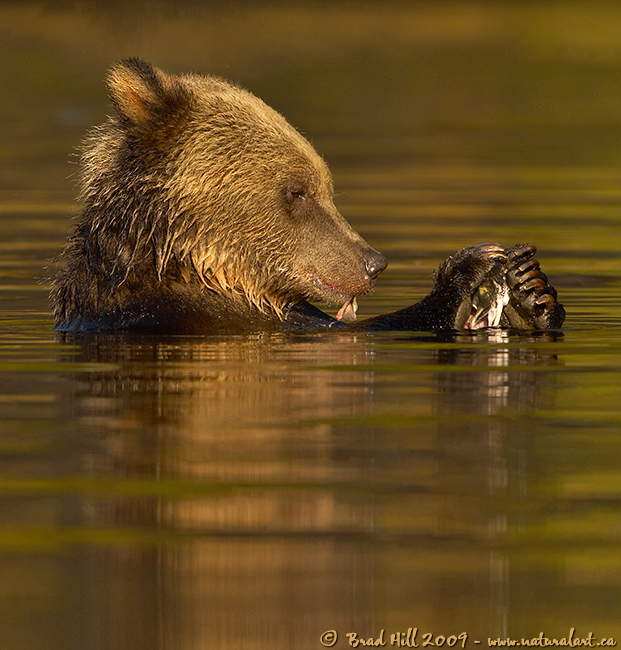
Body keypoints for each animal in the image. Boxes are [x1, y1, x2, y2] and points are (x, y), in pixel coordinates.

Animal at [52, 58, 565, 334]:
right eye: (297, 191)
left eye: (327, 187)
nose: (373, 262)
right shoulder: (198, 315)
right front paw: (471, 266)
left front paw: (530, 289)